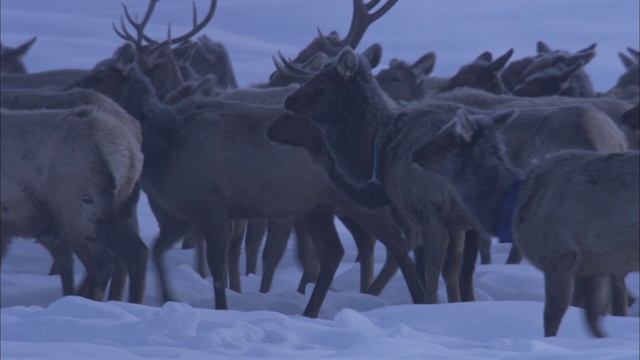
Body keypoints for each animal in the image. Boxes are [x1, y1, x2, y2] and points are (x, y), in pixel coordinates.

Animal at [412, 109, 636, 338]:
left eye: (448, 137)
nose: (415, 153)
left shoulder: (560, 254)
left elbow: (552, 319)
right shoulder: (595, 263)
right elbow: (593, 323)